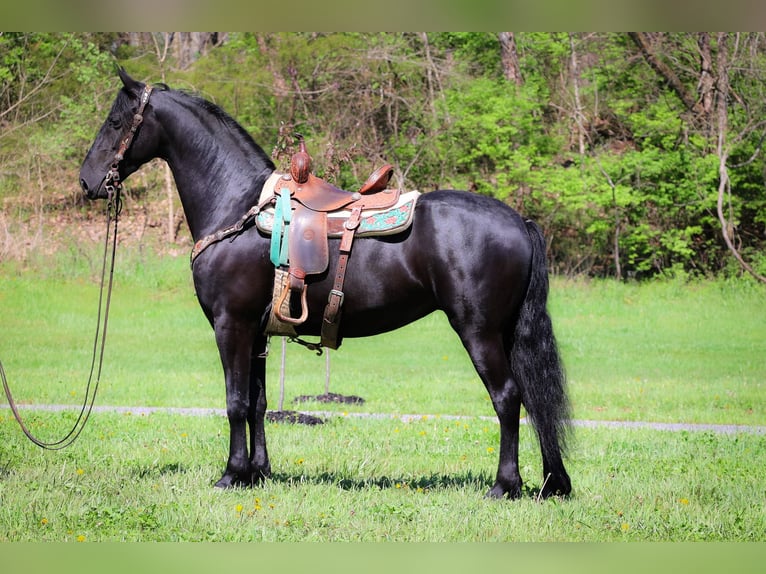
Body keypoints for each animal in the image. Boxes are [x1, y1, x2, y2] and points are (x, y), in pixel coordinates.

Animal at [79, 70, 568, 502]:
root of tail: (518, 221)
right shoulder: (258, 333)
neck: (237, 207)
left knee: (507, 398)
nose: (87, 181)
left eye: (116, 122)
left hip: (479, 332)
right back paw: (551, 483)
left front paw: (231, 475)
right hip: (506, 333)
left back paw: (505, 486)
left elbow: (235, 401)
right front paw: (258, 473)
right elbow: (257, 402)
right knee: (534, 399)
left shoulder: (230, 325)